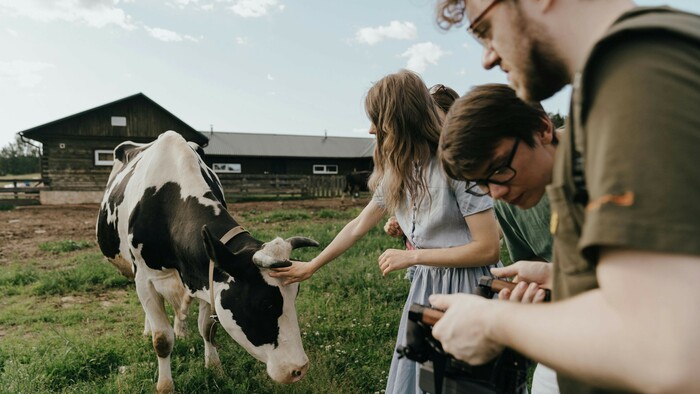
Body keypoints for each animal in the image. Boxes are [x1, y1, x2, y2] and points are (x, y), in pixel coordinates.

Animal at [95, 131, 318, 392]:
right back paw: (148, 328)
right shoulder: (145, 277)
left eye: (295, 295)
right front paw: (165, 386)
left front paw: (214, 368)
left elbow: (207, 329)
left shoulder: (207, 274)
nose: (299, 368)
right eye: (266, 304)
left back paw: (181, 328)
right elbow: (162, 339)